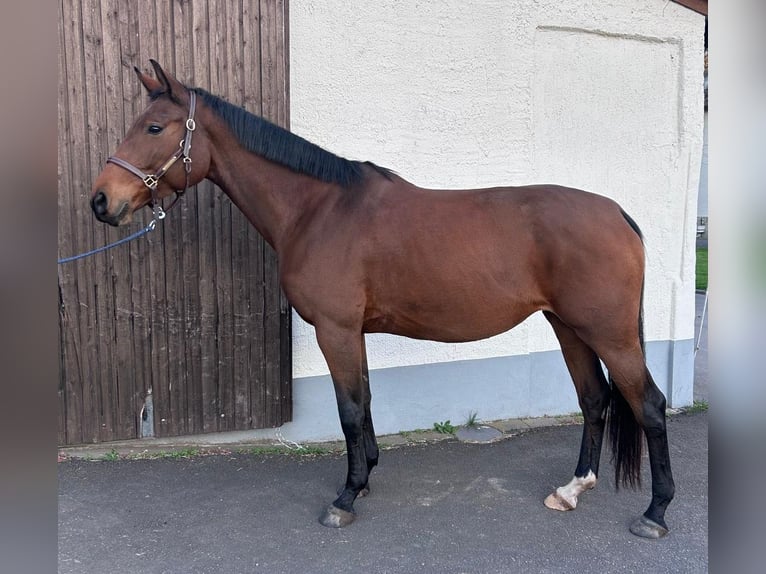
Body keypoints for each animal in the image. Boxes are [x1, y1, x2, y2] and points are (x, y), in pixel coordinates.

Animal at [91, 62, 680, 540]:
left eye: (154, 127)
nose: (102, 201)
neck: (319, 209)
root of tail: (618, 215)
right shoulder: (353, 332)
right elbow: (366, 402)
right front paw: (367, 476)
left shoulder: (335, 329)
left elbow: (350, 410)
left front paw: (346, 498)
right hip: (568, 327)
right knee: (594, 399)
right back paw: (572, 489)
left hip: (609, 333)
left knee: (648, 405)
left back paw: (654, 513)